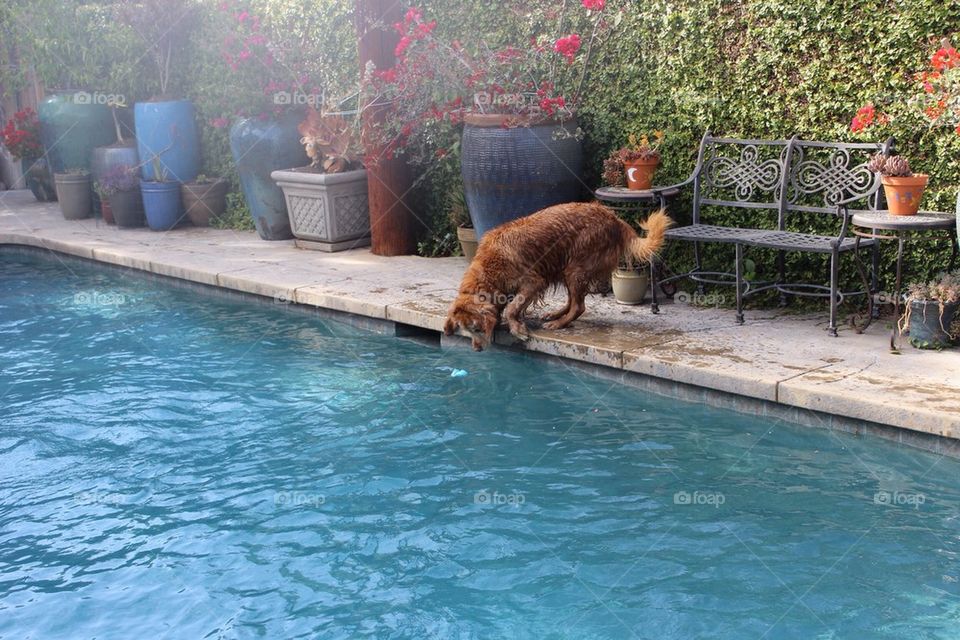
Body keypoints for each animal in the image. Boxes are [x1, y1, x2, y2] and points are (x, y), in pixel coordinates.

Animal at [446, 201, 672, 350]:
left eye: (476, 328)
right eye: (466, 332)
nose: (477, 349)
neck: (489, 267)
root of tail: (613, 218)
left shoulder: (533, 281)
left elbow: (512, 307)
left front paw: (518, 329)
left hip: (576, 267)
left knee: (579, 306)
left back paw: (558, 324)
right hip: (565, 267)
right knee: (573, 301)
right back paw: (555, 315)